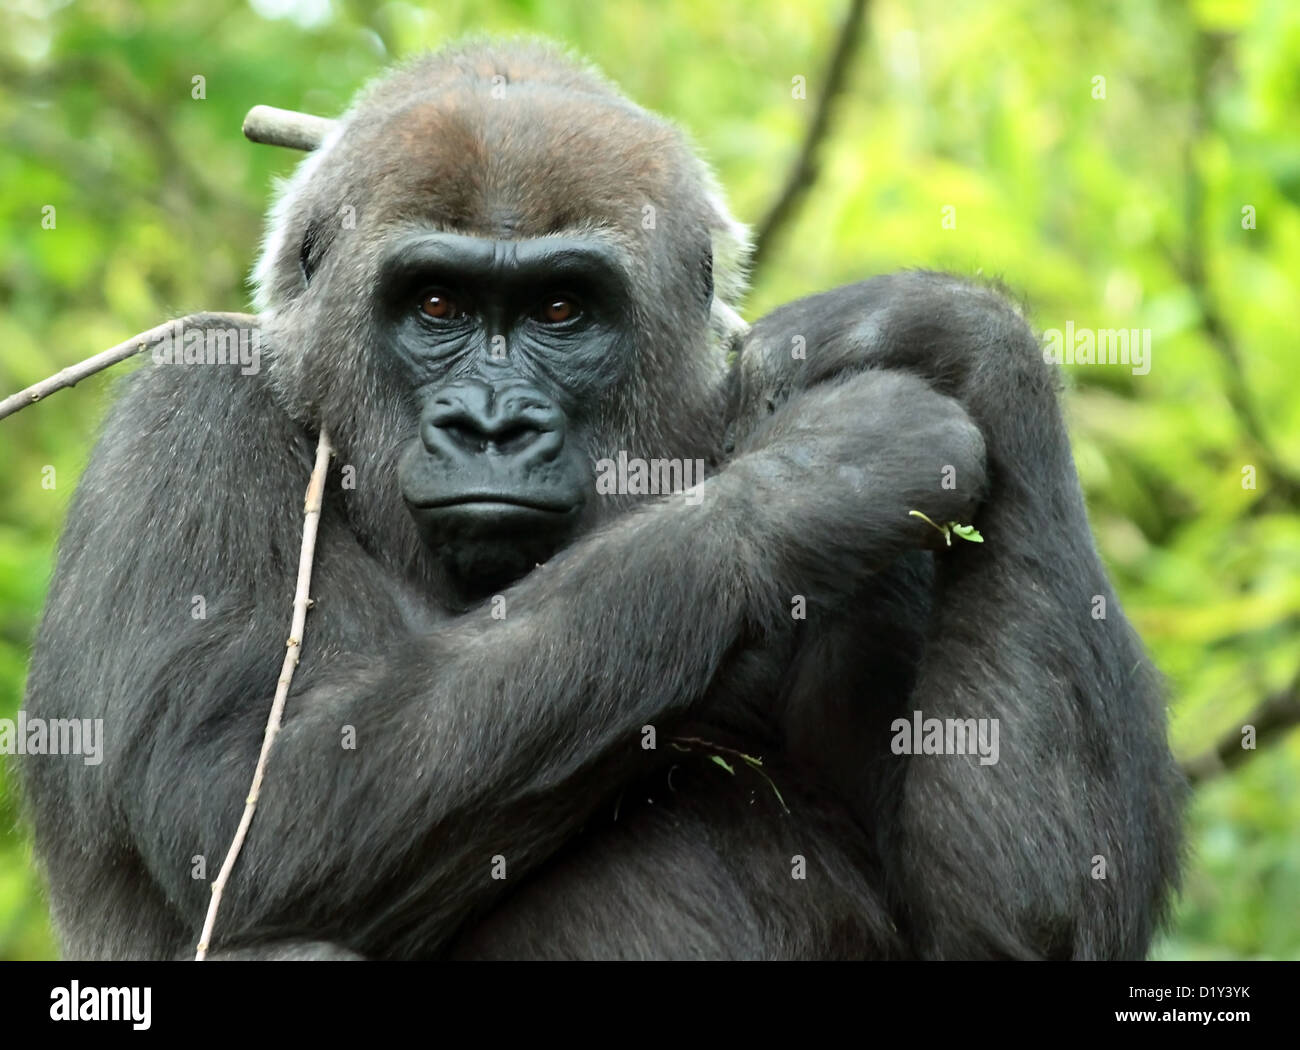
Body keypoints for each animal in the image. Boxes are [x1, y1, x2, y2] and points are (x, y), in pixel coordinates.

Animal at [15, 40, 1185, 961]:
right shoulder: (188, 417)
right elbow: (239, 813)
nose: (492, 426)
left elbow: (1016, 925)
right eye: (435, 304)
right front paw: (805, 490)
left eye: (561, 310)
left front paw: (951, 334)